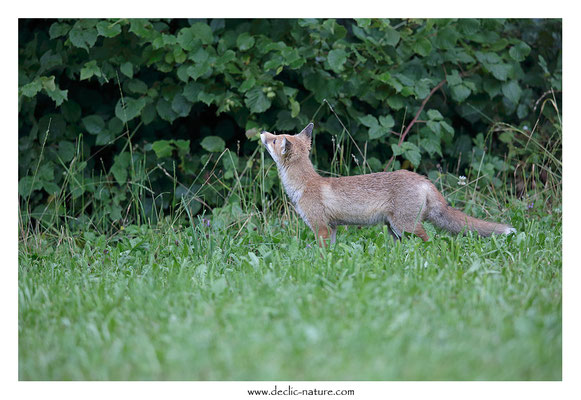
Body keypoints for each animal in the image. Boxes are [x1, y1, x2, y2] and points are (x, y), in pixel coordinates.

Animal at [260, 122, 516, 247]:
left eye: (274, 140)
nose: (262, 132)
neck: (305, 185)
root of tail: (423, 179)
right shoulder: (331, 228)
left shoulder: (320, 227)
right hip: (395, 230)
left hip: (405, 226)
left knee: (430, 241)